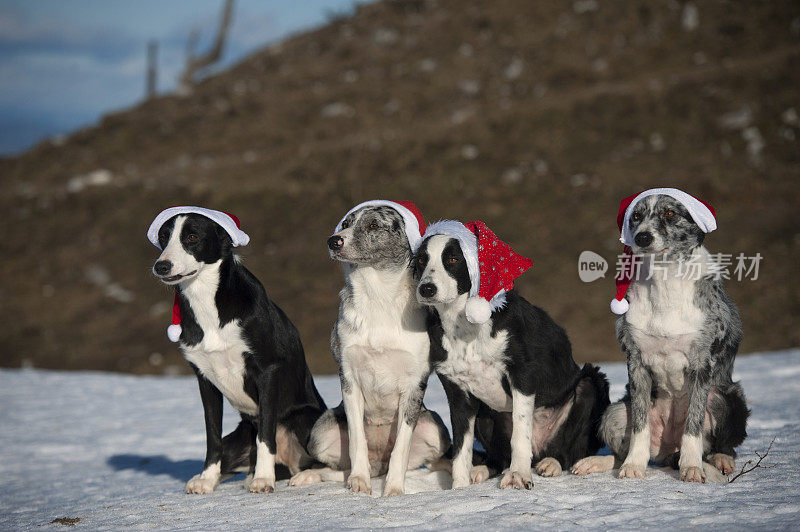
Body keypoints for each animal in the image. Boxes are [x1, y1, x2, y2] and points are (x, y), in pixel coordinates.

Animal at [148, 207, 326, 494]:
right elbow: (212, 437)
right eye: (164, 237)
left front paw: (263, 479)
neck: (207, 301)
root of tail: (290, 463)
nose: (161, 266)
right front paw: (207, 479)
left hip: (305, 420)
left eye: (192, 237)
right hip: (240, 439)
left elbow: (265, 435)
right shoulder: (205, 380)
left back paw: (302, 476)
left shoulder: (267, 371)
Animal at [290, 200, 454, 494]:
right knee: (334, 468)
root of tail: (380, 463)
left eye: (373, 225)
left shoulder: (414, 384)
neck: (378, 297)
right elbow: (357, 442)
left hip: (434, 426)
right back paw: (307, 477)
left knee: (435, 461)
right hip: (321, 431)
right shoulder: (349, 378)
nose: (333, 240)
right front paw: (359, 482)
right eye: (345, 223)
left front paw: (394, 490)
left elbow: (401, 447)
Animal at [416, 220, 608, 490]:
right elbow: (461, 449)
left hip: (591, 383)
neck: (465, 326)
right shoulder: (458, 394)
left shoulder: (522, 374)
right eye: (421, 260)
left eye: (453, 259)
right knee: (498, 457)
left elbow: (520, 432)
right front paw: (459, 488)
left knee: (570, 451)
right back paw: (482, 470)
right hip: (485, 414)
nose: (426, 289)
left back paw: (552, 463)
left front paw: (518, 474)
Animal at [568, 190, 752, 482]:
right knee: (619, 451)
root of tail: (667, 451)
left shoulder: (702, 364)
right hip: (614, 412)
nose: (642, 237)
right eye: (636, 216)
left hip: (727, 400)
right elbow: (639, 426)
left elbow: (693, 424)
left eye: (670, 213)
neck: (665, 282)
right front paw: (634, 465)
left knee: (722, 444)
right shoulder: (636, 362)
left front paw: (692, 468)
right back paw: (595, 463)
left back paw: (720, 460)